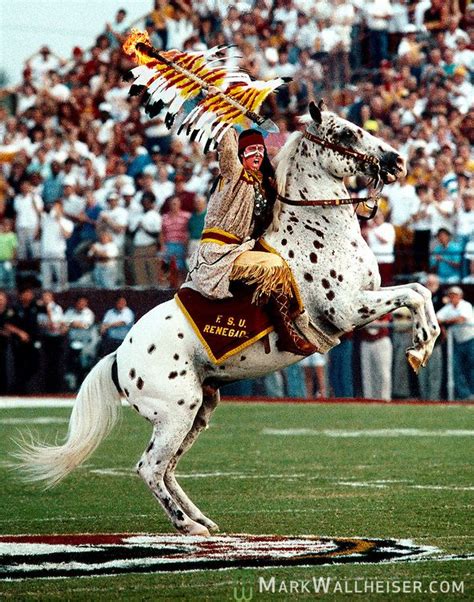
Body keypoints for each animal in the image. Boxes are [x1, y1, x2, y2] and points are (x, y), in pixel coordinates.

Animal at [17, 102, 440, 536]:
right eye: (346, 133)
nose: (397, 161)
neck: (318, 234)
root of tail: (118, 358)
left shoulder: (365, 300)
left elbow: (420, 292)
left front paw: (421, 346)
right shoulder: (348, 309)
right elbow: (413, 294)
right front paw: (420, 346)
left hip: (200, 409)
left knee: (167, 468)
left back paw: (201, 519)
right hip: (176, 412)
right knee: (149, 468)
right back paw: (190, 527)